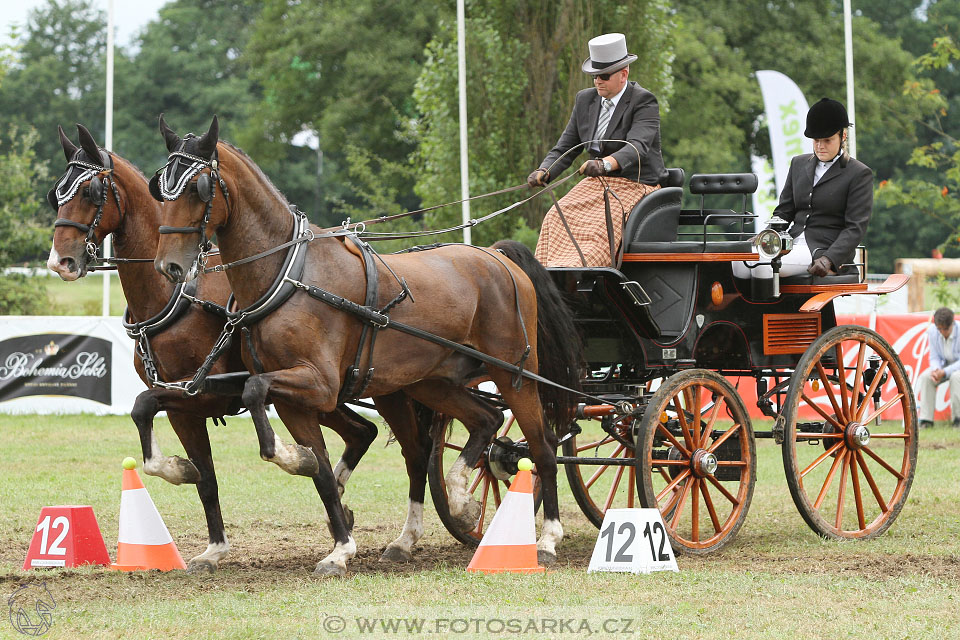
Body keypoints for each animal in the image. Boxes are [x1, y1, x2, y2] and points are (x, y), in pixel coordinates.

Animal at [45, 122, 380, 572]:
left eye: (91, 193)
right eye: (57, 193)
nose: (59, 261)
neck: (176, 295)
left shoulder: (205, 394)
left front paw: (181, 472)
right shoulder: (182, 403)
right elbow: (194, 467)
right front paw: (211, 540)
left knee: (347, 446)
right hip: (321, 392)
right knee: (362, 432)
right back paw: (340, 508)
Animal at [154, 115, 580, 576]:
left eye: (198, 189)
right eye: (160, 187)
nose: (168, 266)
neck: (290, 276)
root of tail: (497, 257)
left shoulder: (319, 385)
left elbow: (254, 392)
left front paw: (299, 468)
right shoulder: (292, 398)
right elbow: (320, 469)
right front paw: (337, 542)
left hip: (513, 373)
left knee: (542, 448)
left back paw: (547, 539)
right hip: (431, 381)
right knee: (482, 423)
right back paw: (455, 506)